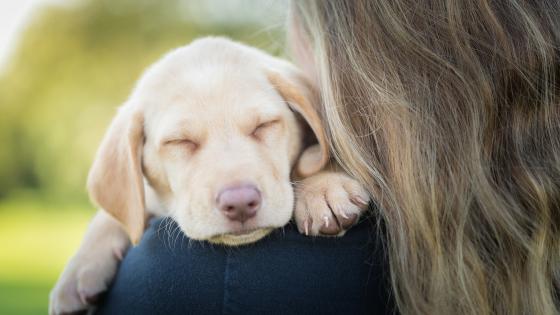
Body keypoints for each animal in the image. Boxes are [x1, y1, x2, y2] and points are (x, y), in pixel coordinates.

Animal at [49, 37, 372, 315]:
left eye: (264, 125)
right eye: (179, 142)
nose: (240, 203)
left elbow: (315, 156)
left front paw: (324, 189)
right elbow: (115, 215)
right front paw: (79, 269)